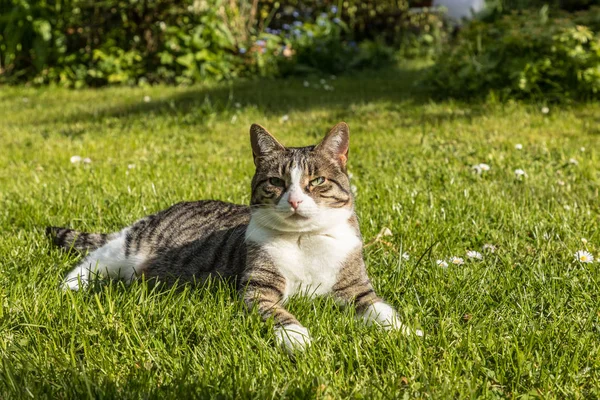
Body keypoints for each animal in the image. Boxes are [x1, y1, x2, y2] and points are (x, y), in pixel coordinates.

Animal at [45, 122, 422, 354]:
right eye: (276, 182)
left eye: (317, 181)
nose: (295, 200)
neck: (305, 240)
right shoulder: (258, 288)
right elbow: (277, 312)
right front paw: (297, 336)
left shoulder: (356, 287)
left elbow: (380, 309)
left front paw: (406, 332)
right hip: (130, 246)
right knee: (95, 258)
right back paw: (67, 287)